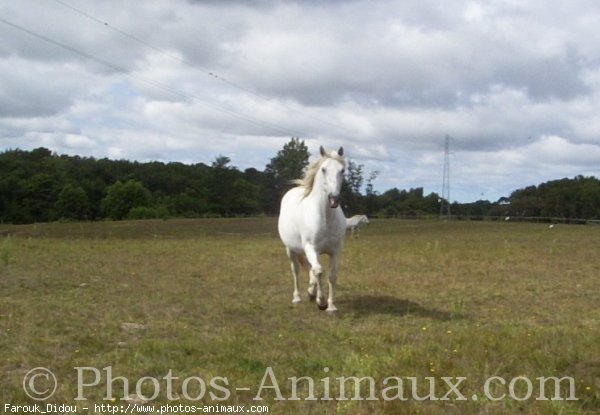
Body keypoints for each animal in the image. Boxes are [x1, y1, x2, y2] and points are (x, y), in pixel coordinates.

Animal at [278, 146, 346, 312]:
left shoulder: (336, 250)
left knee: (311, 269)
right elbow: (319, 271)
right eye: (323, 169)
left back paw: (311, 292)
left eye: (342, 170)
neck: (325, 218)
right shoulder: (310, 247)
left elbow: (331, 275)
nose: (334, 199)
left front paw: (331, 306)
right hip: (291, 250)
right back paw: (297, 297)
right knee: (296, 270)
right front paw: (321, 302)